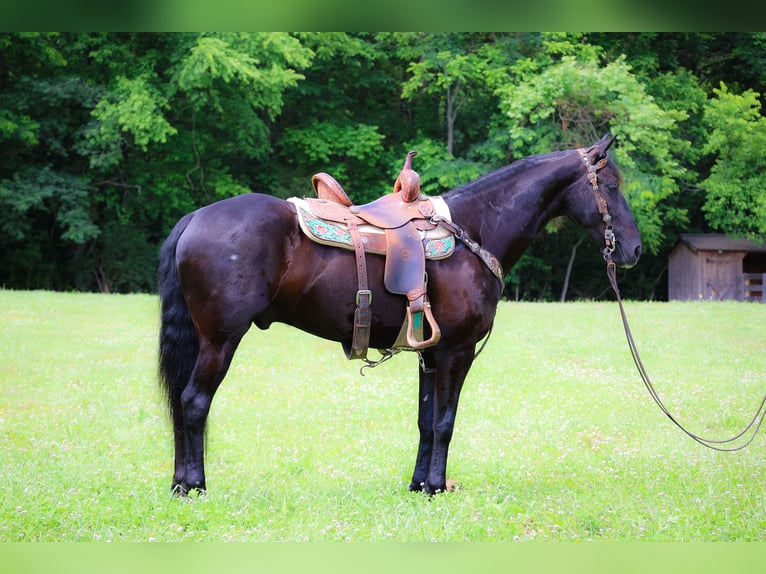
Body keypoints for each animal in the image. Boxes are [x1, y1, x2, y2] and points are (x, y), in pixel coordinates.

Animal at [156, 134, 640, 496]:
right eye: (612, 186)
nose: (634, 250)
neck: (475, 230)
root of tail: (196, 217)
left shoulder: (431, 353)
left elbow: (426, 421)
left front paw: (418, 484)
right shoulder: (457, 351)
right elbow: (445, 422)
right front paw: (437, 487)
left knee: (181, 404)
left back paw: (180, 483)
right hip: (220, 339)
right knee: (193, 402)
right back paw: (195, 485)